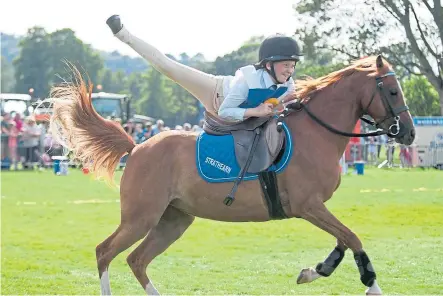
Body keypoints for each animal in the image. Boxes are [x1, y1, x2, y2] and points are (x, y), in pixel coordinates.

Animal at [51, 55, 416, 294]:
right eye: (393, 91)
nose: (409, 134)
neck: (316, 133)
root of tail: (137, 146)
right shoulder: (308, 206)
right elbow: (353, 238)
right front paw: (370, 285)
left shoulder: (315, 208)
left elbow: (344, 240)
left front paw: (314, 271)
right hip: (141, 217)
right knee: (105, 252)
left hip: (174, 220)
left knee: (137, 260)